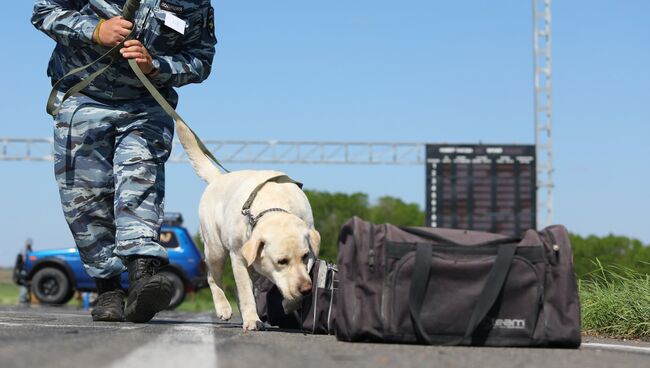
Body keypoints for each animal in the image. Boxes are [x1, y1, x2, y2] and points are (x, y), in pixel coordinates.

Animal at [176, 121, 320, 330]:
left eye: (305, 256)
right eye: (281, 261)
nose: (307, 289)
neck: (275, 205)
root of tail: (218, 178)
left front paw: (290, 303)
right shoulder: (238, 256)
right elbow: (245, 293)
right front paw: (252, 320)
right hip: (216, 249)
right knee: (213, 277)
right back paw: (223, 308)